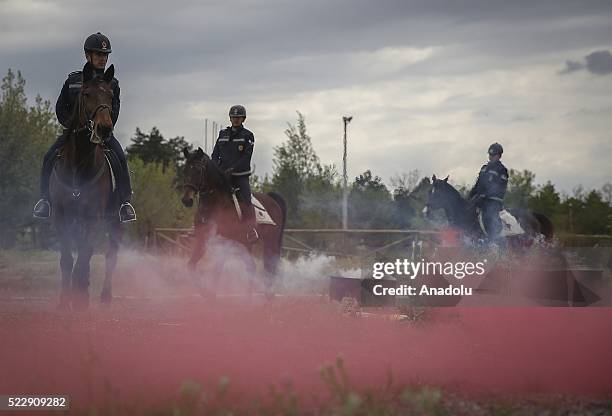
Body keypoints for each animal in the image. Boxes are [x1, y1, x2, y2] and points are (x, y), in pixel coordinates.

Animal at [50, 61, 123, 308]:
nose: (104, 129)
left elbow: (84, 256)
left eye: (110, 95)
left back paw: (104, 297)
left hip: (116, 222)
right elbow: (66, 258)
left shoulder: (93, 216)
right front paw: (65, 299)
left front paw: (80, 297)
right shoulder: (61, 216)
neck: (79, 165)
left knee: (110, 255)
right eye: (86, 94)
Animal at [180, 146, 288, 296]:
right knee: (252, 268)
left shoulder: (224, 241)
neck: (215, 203)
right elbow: (192, 265)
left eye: (198, 170)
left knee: (266, 267)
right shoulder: (204, 238)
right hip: (245, 243)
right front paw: (206, 292)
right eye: (184, 170)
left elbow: (216, 269)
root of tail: (272, 199)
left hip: (269, 242)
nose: (187, 199)